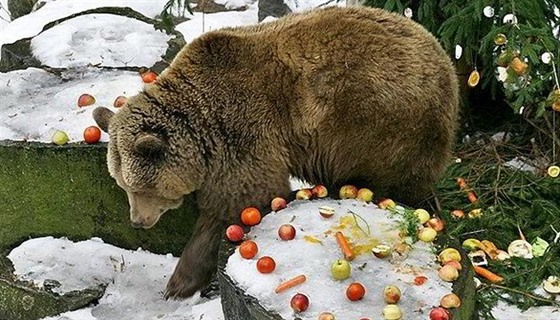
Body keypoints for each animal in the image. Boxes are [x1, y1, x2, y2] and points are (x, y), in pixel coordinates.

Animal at [93, 5, 460, 300]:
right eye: (123, 185)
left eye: (141, 187)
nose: (138, 221)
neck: (201, 126)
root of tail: (443, 57)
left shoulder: (243, 131)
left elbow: (241, 200)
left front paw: (180, 282)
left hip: (379, 123)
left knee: (395, 179)